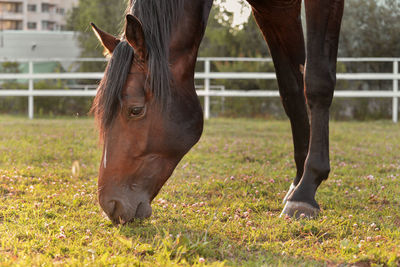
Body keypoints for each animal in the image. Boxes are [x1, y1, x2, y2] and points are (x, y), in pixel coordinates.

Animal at [90, 0, 344, 225]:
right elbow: (292, 89)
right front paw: (298, 181)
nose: (109, 204)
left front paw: (305, 191)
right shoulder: (274, 9)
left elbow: (316, 81)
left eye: (135, 110)